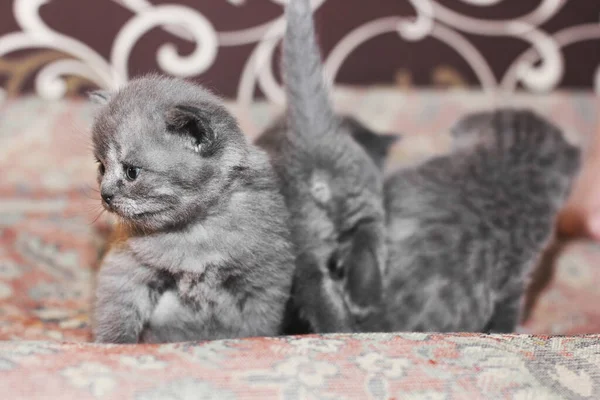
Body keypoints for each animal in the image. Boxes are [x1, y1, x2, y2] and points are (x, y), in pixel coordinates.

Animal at [90, 75, 294, 344]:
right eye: (101, 167)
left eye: (131, 172)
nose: (105, 195)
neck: (192, 232)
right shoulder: (127, 265)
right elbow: (117, 312)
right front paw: (113, 344)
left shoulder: (264, 281)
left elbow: (256, 327)